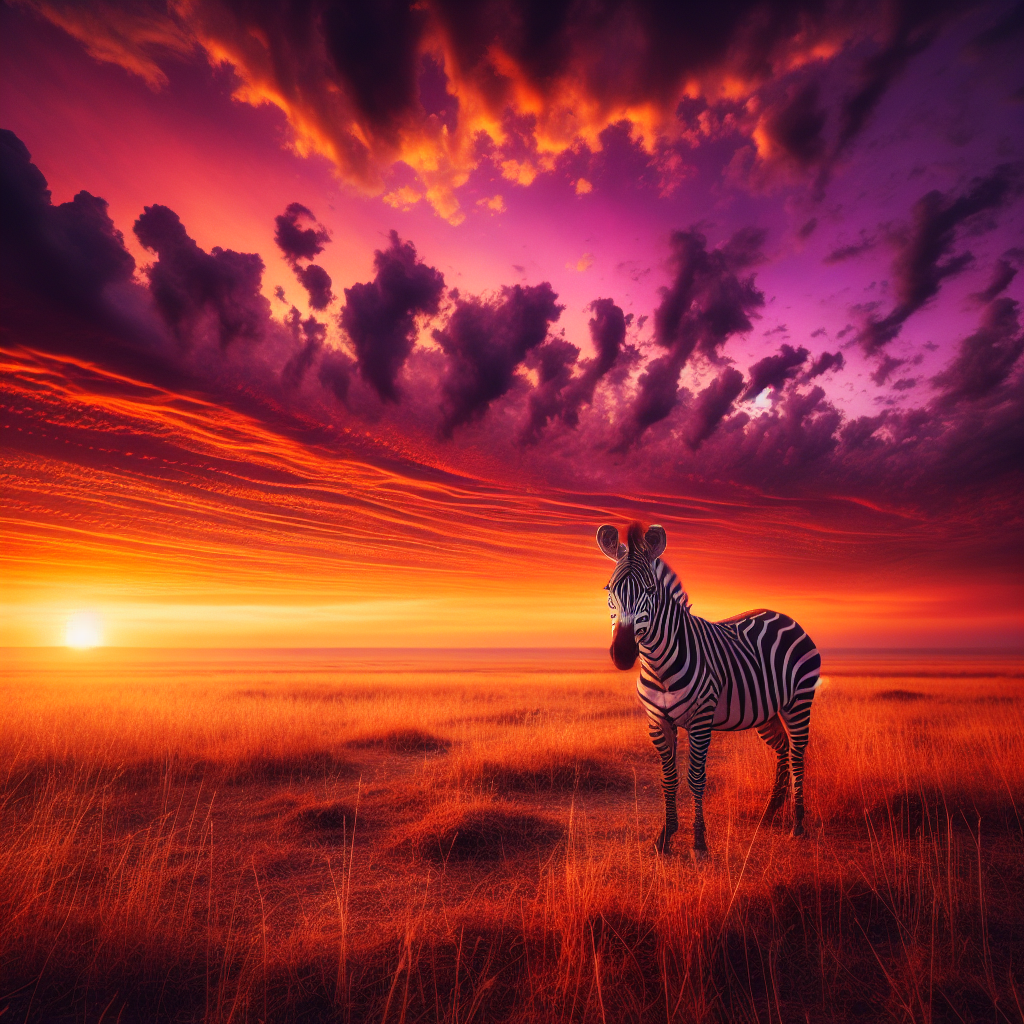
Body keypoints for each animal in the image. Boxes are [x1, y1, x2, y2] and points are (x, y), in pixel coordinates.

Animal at [597, 521, 821, 858]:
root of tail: (784, 616)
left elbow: (696, 778)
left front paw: (699, 842)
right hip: (766, 711)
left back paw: (797, 825)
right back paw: (769, 814)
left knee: (796, 754)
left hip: (798, 702)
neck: (659, 664)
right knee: (782, 750)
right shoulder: (657, 721)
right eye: (609, 590)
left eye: (650, 590)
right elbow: (669, 779)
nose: (622, 655)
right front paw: (665, 837)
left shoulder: (701, 719)